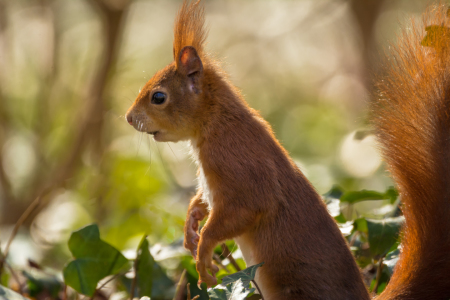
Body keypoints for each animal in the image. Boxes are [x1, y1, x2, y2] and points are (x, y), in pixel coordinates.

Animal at [125, 1, 450, 298]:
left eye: (158, 97)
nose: (128, 118)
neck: (217, 122)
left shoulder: (236, 164)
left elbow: (246, 209)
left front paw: (203, 252)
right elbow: (202, 200)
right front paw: (191, 223)